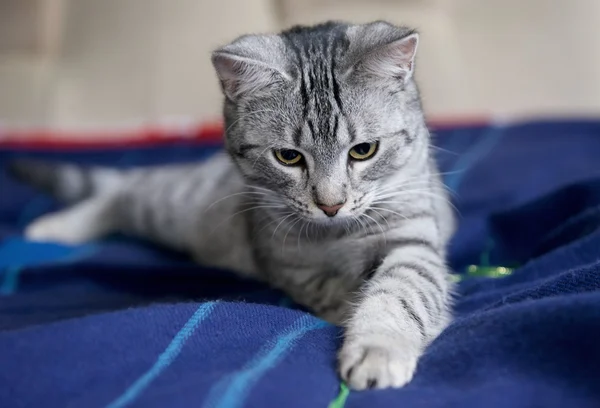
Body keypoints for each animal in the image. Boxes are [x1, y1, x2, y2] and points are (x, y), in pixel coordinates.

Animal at [9, 20, 454, 390]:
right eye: (288, 157)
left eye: (364, 150)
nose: (331, 204)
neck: (337, 233)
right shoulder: (289, 263)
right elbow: (333, 289)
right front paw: (350, 309)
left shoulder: (413, 240)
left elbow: (398, 294)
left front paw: (377, 348)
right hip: (172, 208)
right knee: (122, 194)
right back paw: (54, 227)